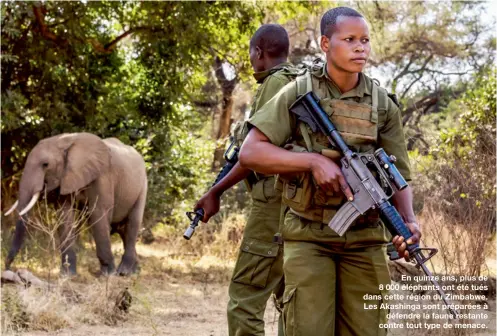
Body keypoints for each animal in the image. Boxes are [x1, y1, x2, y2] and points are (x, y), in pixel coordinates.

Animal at [3, 132, 147, 276]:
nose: (7, 267)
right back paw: (135, 270)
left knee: (132, 224)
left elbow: (99, 213)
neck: (65, 140)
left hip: (142, 186)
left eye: (45, 164)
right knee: (122, 229)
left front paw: (107, 274)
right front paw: (67, 274)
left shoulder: (103, 176)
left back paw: (124, 272)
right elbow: (65, 216)